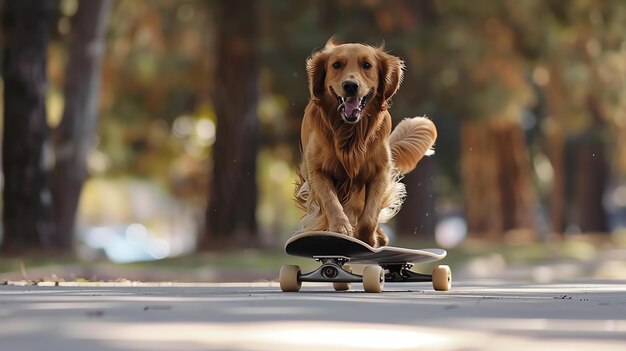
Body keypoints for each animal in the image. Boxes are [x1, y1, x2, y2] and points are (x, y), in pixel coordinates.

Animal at [292, 39, 434, 248]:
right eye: (336, 65)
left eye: (367, 65)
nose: (351, 86)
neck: (350, 134)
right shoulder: (317, 171)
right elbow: (331, 201)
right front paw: (340, 230)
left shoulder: (379, 171)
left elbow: (370, 215)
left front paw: (365, 239)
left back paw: (380, 236)